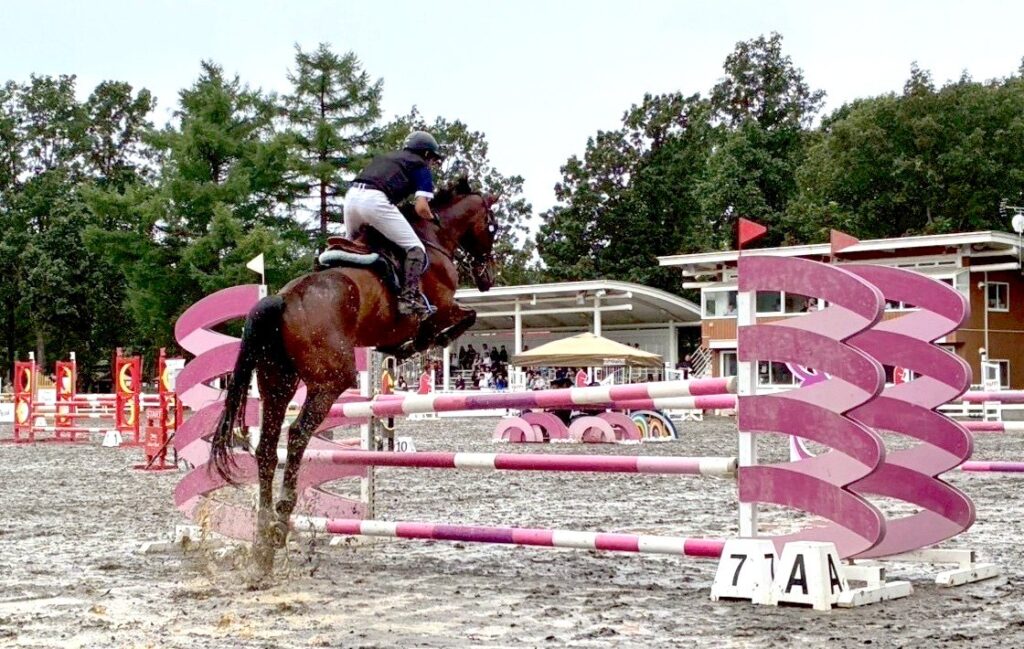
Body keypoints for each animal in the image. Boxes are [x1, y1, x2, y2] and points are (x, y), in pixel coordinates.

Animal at [209, 177, 498, 570]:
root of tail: (282, 299)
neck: (433, 235)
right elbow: (464, 318)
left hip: (276, 382)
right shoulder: (444, 307)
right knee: (297, 435)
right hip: (330, 382)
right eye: (492, 226)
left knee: (267, 448)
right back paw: (281, 521)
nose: (487, 279)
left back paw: (263, 541)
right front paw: (421, 343)